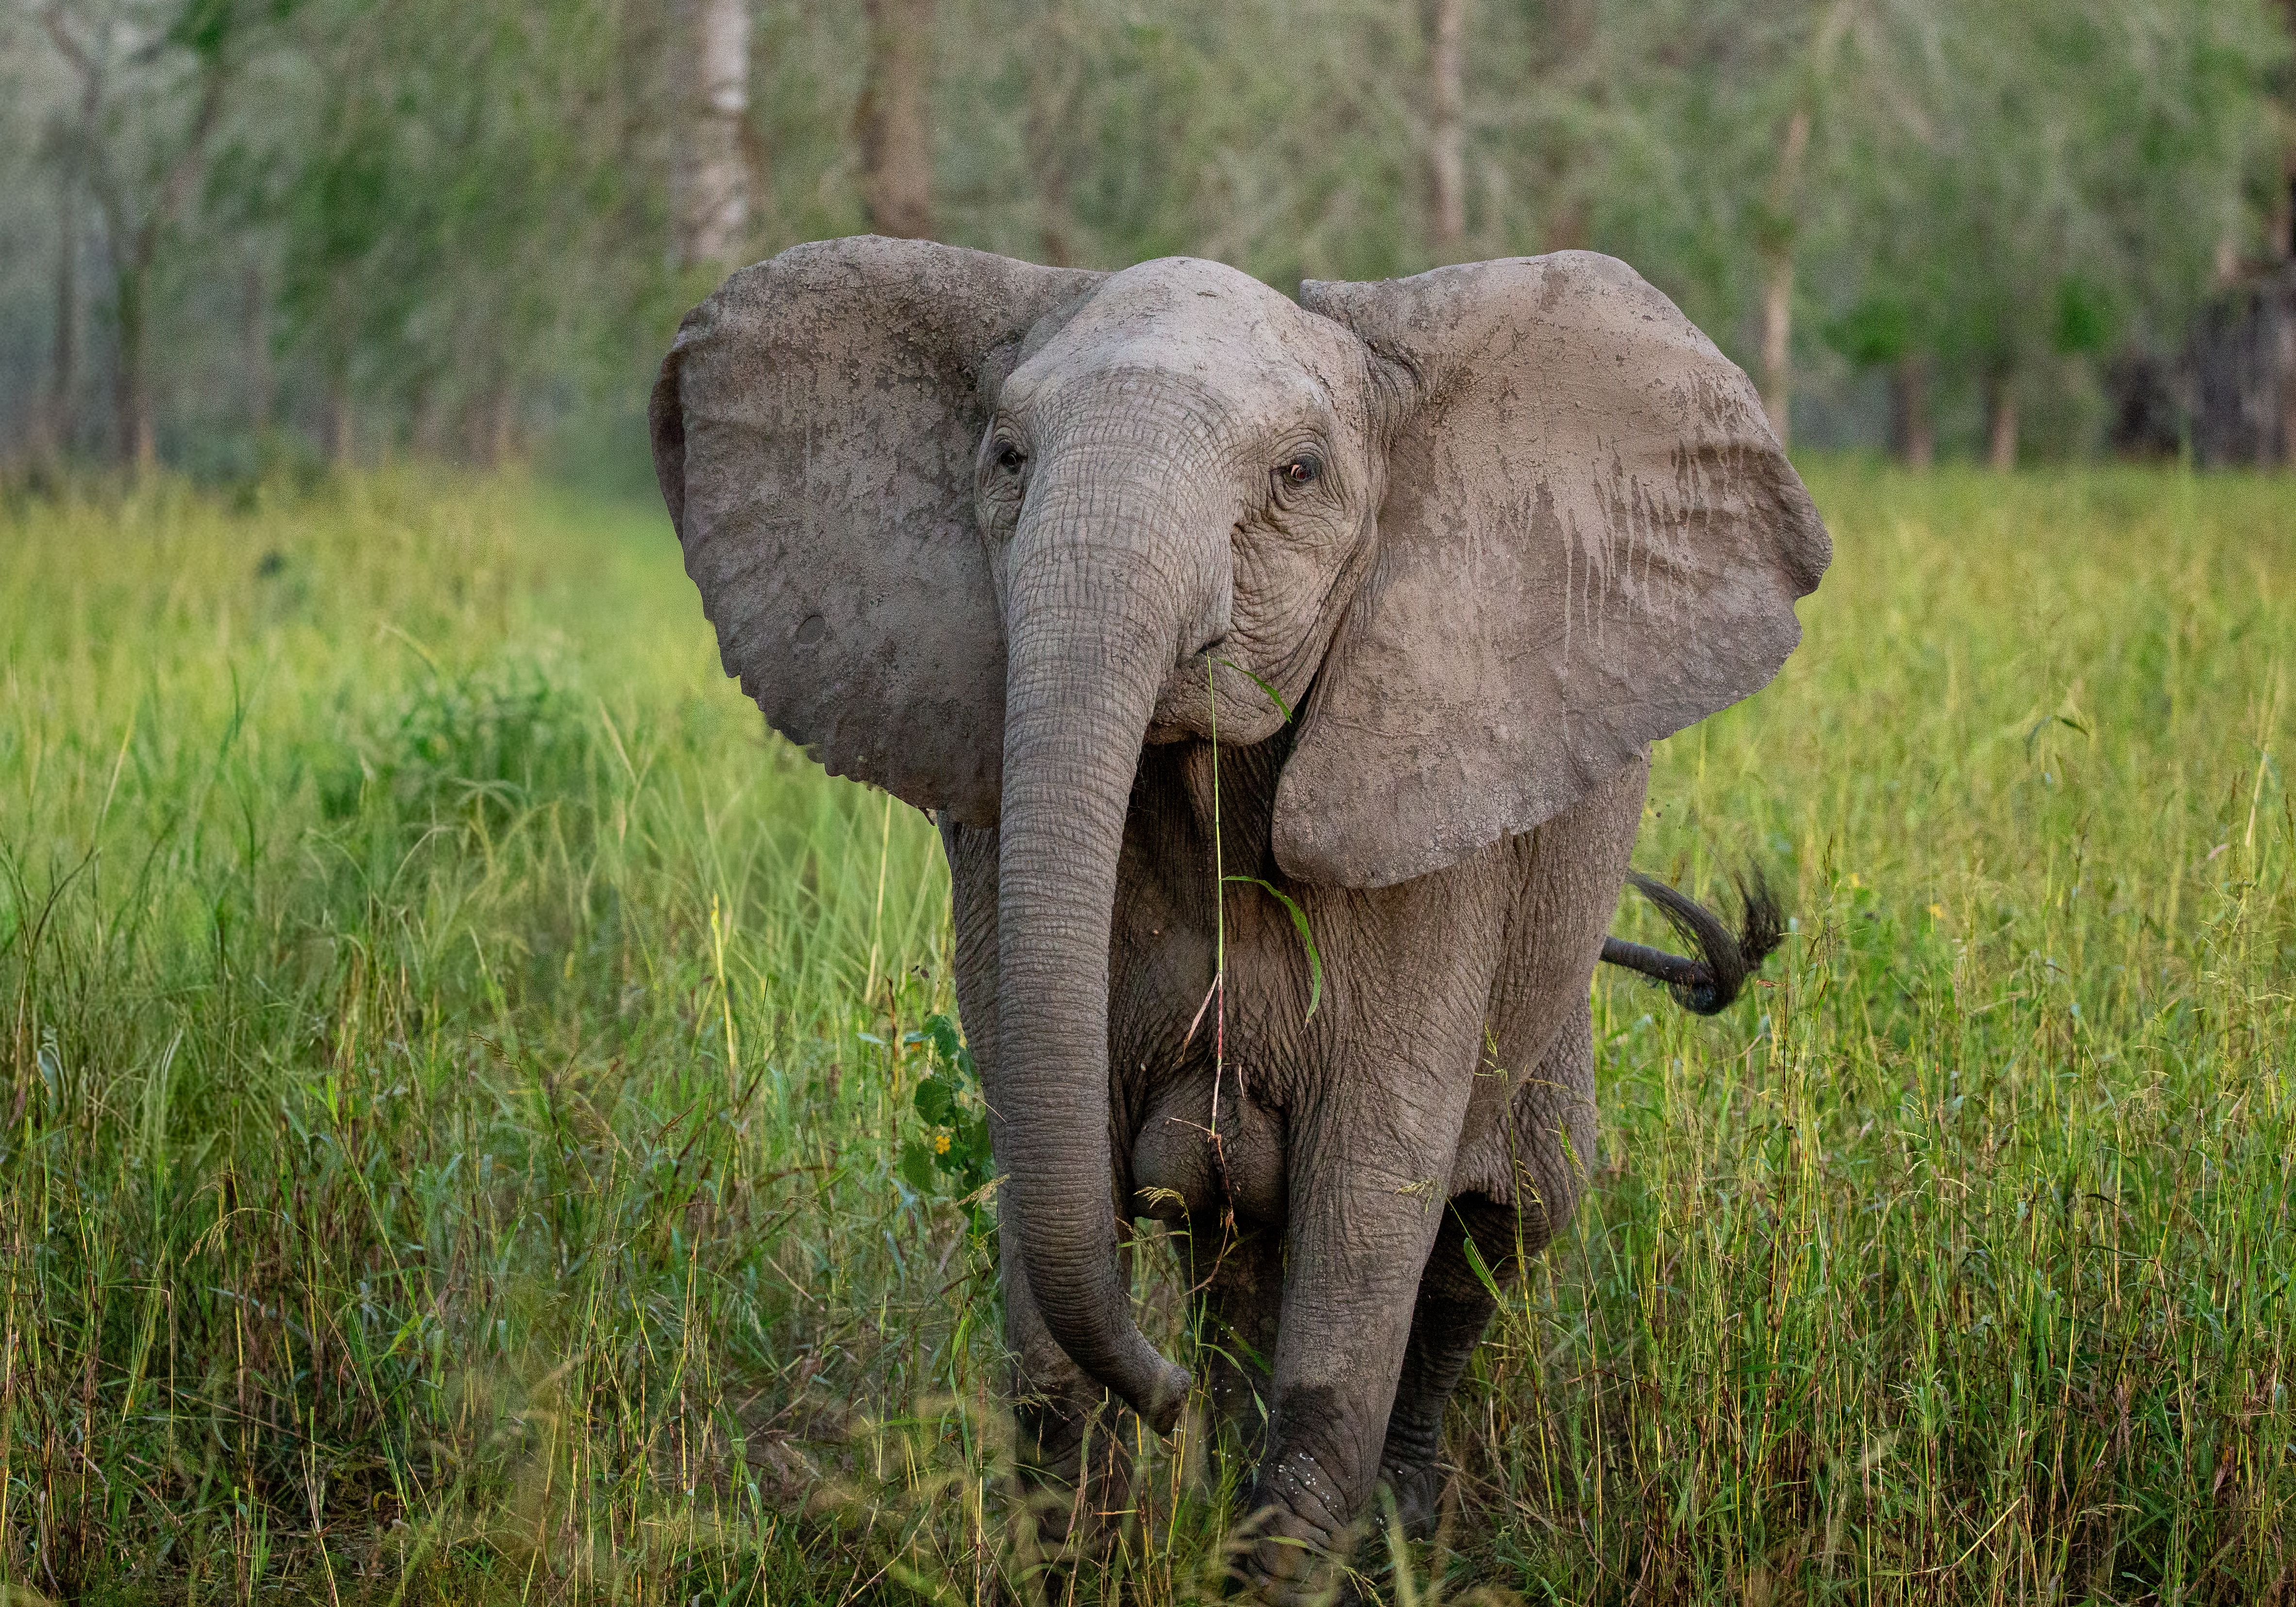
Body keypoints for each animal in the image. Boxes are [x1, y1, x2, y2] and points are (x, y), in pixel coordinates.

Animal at [649, 235, 1829, 1599]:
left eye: (1298, 474)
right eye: (1005, 456)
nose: (1155, 1391)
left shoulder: (1430, 836)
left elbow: (1368, 1210)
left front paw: (1274, 1542)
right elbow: (1051, 1211)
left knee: (1500, 1226)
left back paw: (1399, 1532)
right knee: (1236, 1253)